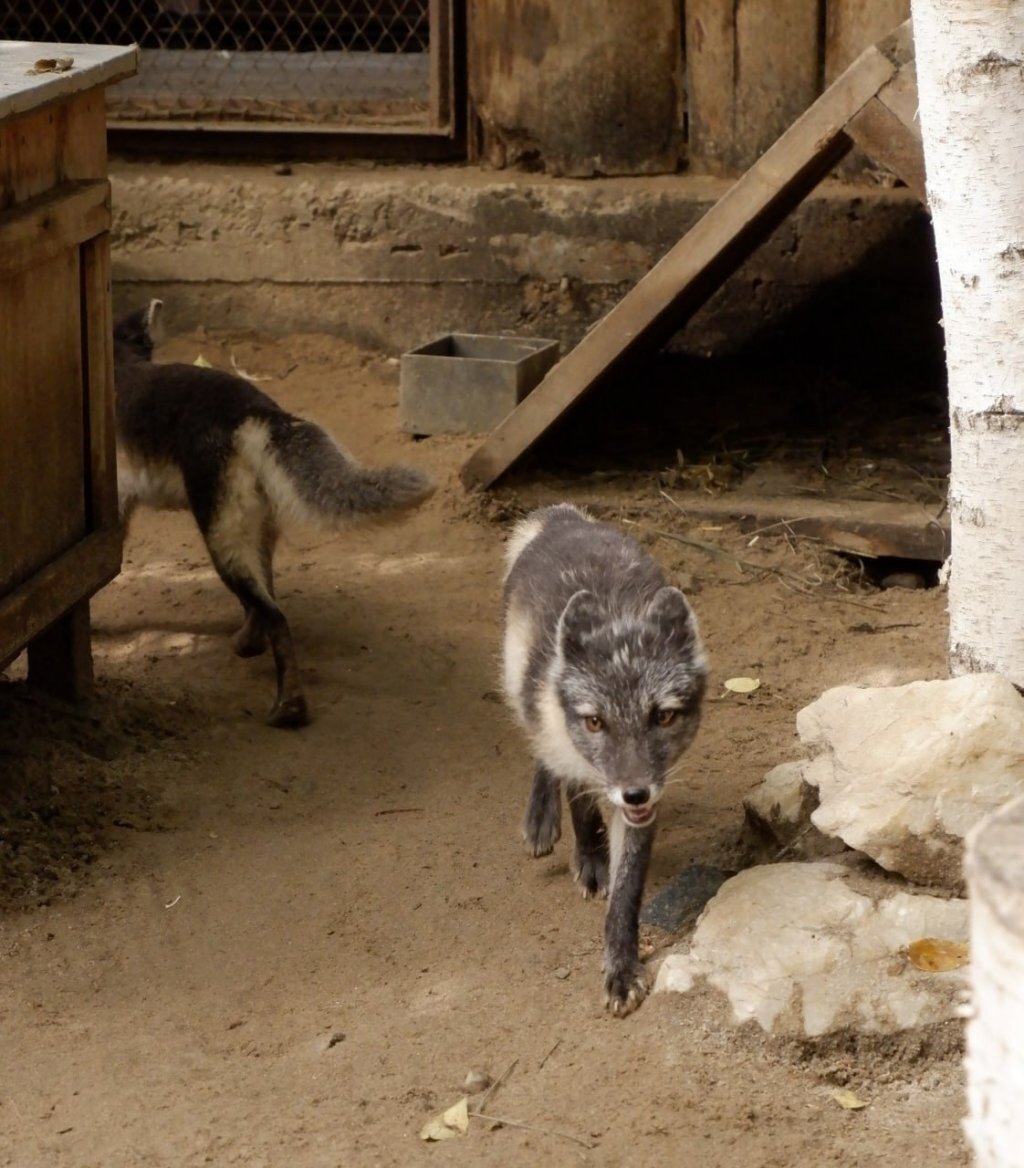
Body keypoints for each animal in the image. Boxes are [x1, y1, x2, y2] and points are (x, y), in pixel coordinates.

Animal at [113, 296, 434, 724]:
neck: (120, 361)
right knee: (265, 600)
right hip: (252, 533)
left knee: (274, 615)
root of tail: (257, 411)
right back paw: (249, 647)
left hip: (222, 540)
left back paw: (289, 706)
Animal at [499, 502, 705, 1013]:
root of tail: (565, 518)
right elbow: (578, 801)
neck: (618, 618)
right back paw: (542, 816)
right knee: (543, 753)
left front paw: (621, 967)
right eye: (595, 722)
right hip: (521, 687)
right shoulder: (575, 750)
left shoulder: (647, 799)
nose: (634, 794)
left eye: (663, 716)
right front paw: (590, 856)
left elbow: (627, 893)